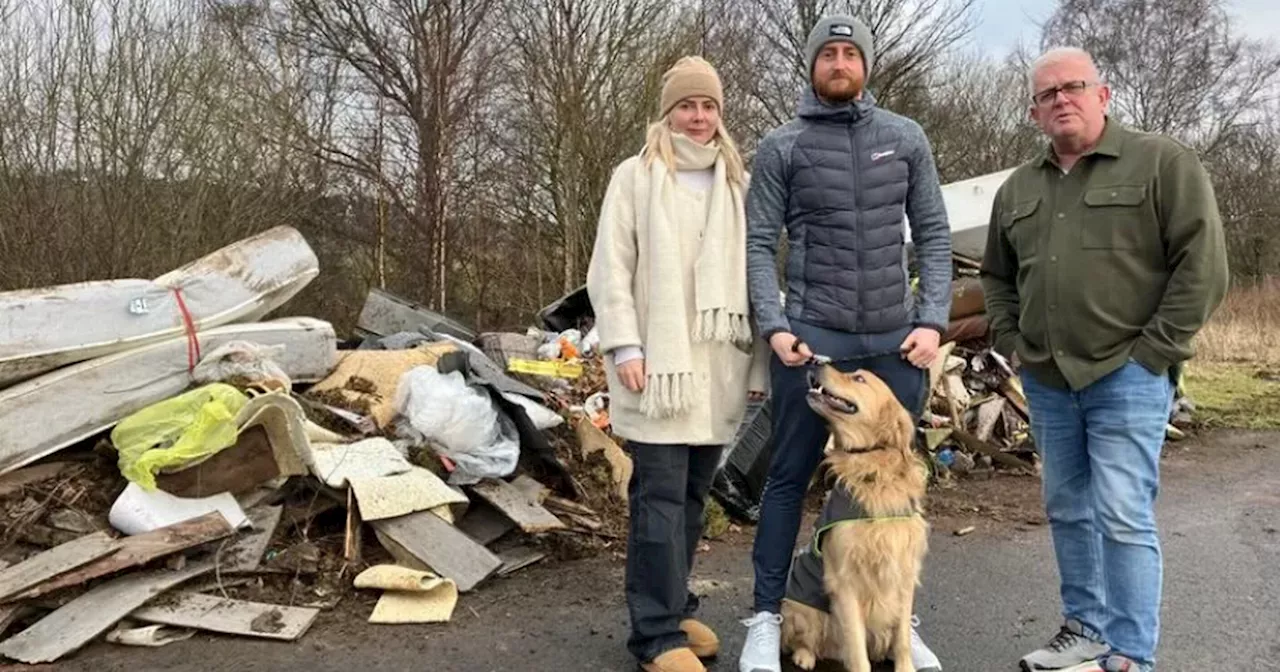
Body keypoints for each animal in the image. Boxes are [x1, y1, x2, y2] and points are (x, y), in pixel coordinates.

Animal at [778, 363, 931, 670]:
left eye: (859, 378)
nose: (815, 361)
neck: (872, 467)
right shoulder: (844, 580)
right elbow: (857, 649)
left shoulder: (904, 572)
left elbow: (902, 637)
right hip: (802, 608)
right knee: (801, 640)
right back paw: (804, 656)